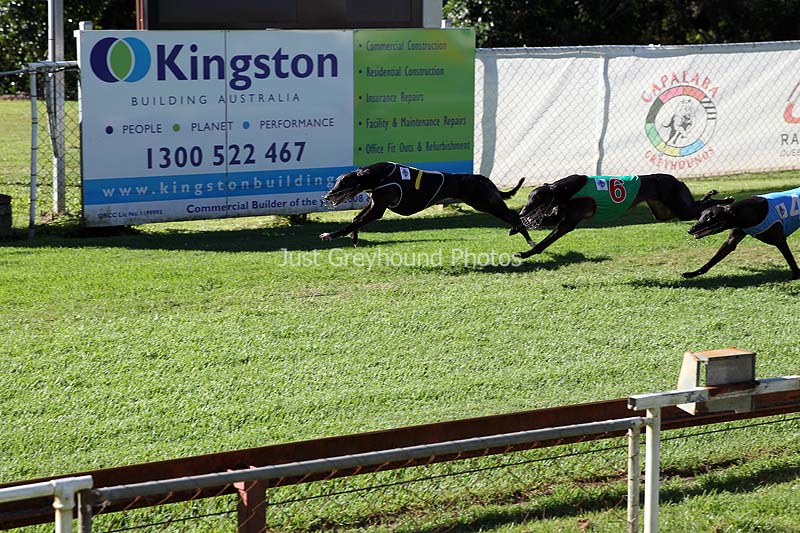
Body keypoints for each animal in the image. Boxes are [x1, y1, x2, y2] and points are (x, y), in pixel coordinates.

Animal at [320, 161, 533, 247]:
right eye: (336, 181)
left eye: (343, 182)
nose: (327, 196)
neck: (379, 175)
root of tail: (482, 178)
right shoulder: (374, 202)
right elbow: (355, 219)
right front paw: (355, 239)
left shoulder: (378, 209)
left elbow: (352, 223)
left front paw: (330, 235)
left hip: (486, 203)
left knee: (513, 215)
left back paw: (525, 236)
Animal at [515, 173, 733, 258]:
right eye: (529, 198)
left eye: (534, 198)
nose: (522, 212)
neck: (564, 190)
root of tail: (675, 179)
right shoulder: (557, 215)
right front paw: (516, 228)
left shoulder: (568, 223)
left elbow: (545, 241)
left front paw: (525, 254)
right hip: (665, 212)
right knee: (700, 204)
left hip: (680, 208)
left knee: (704, 206)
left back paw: (726, 201)